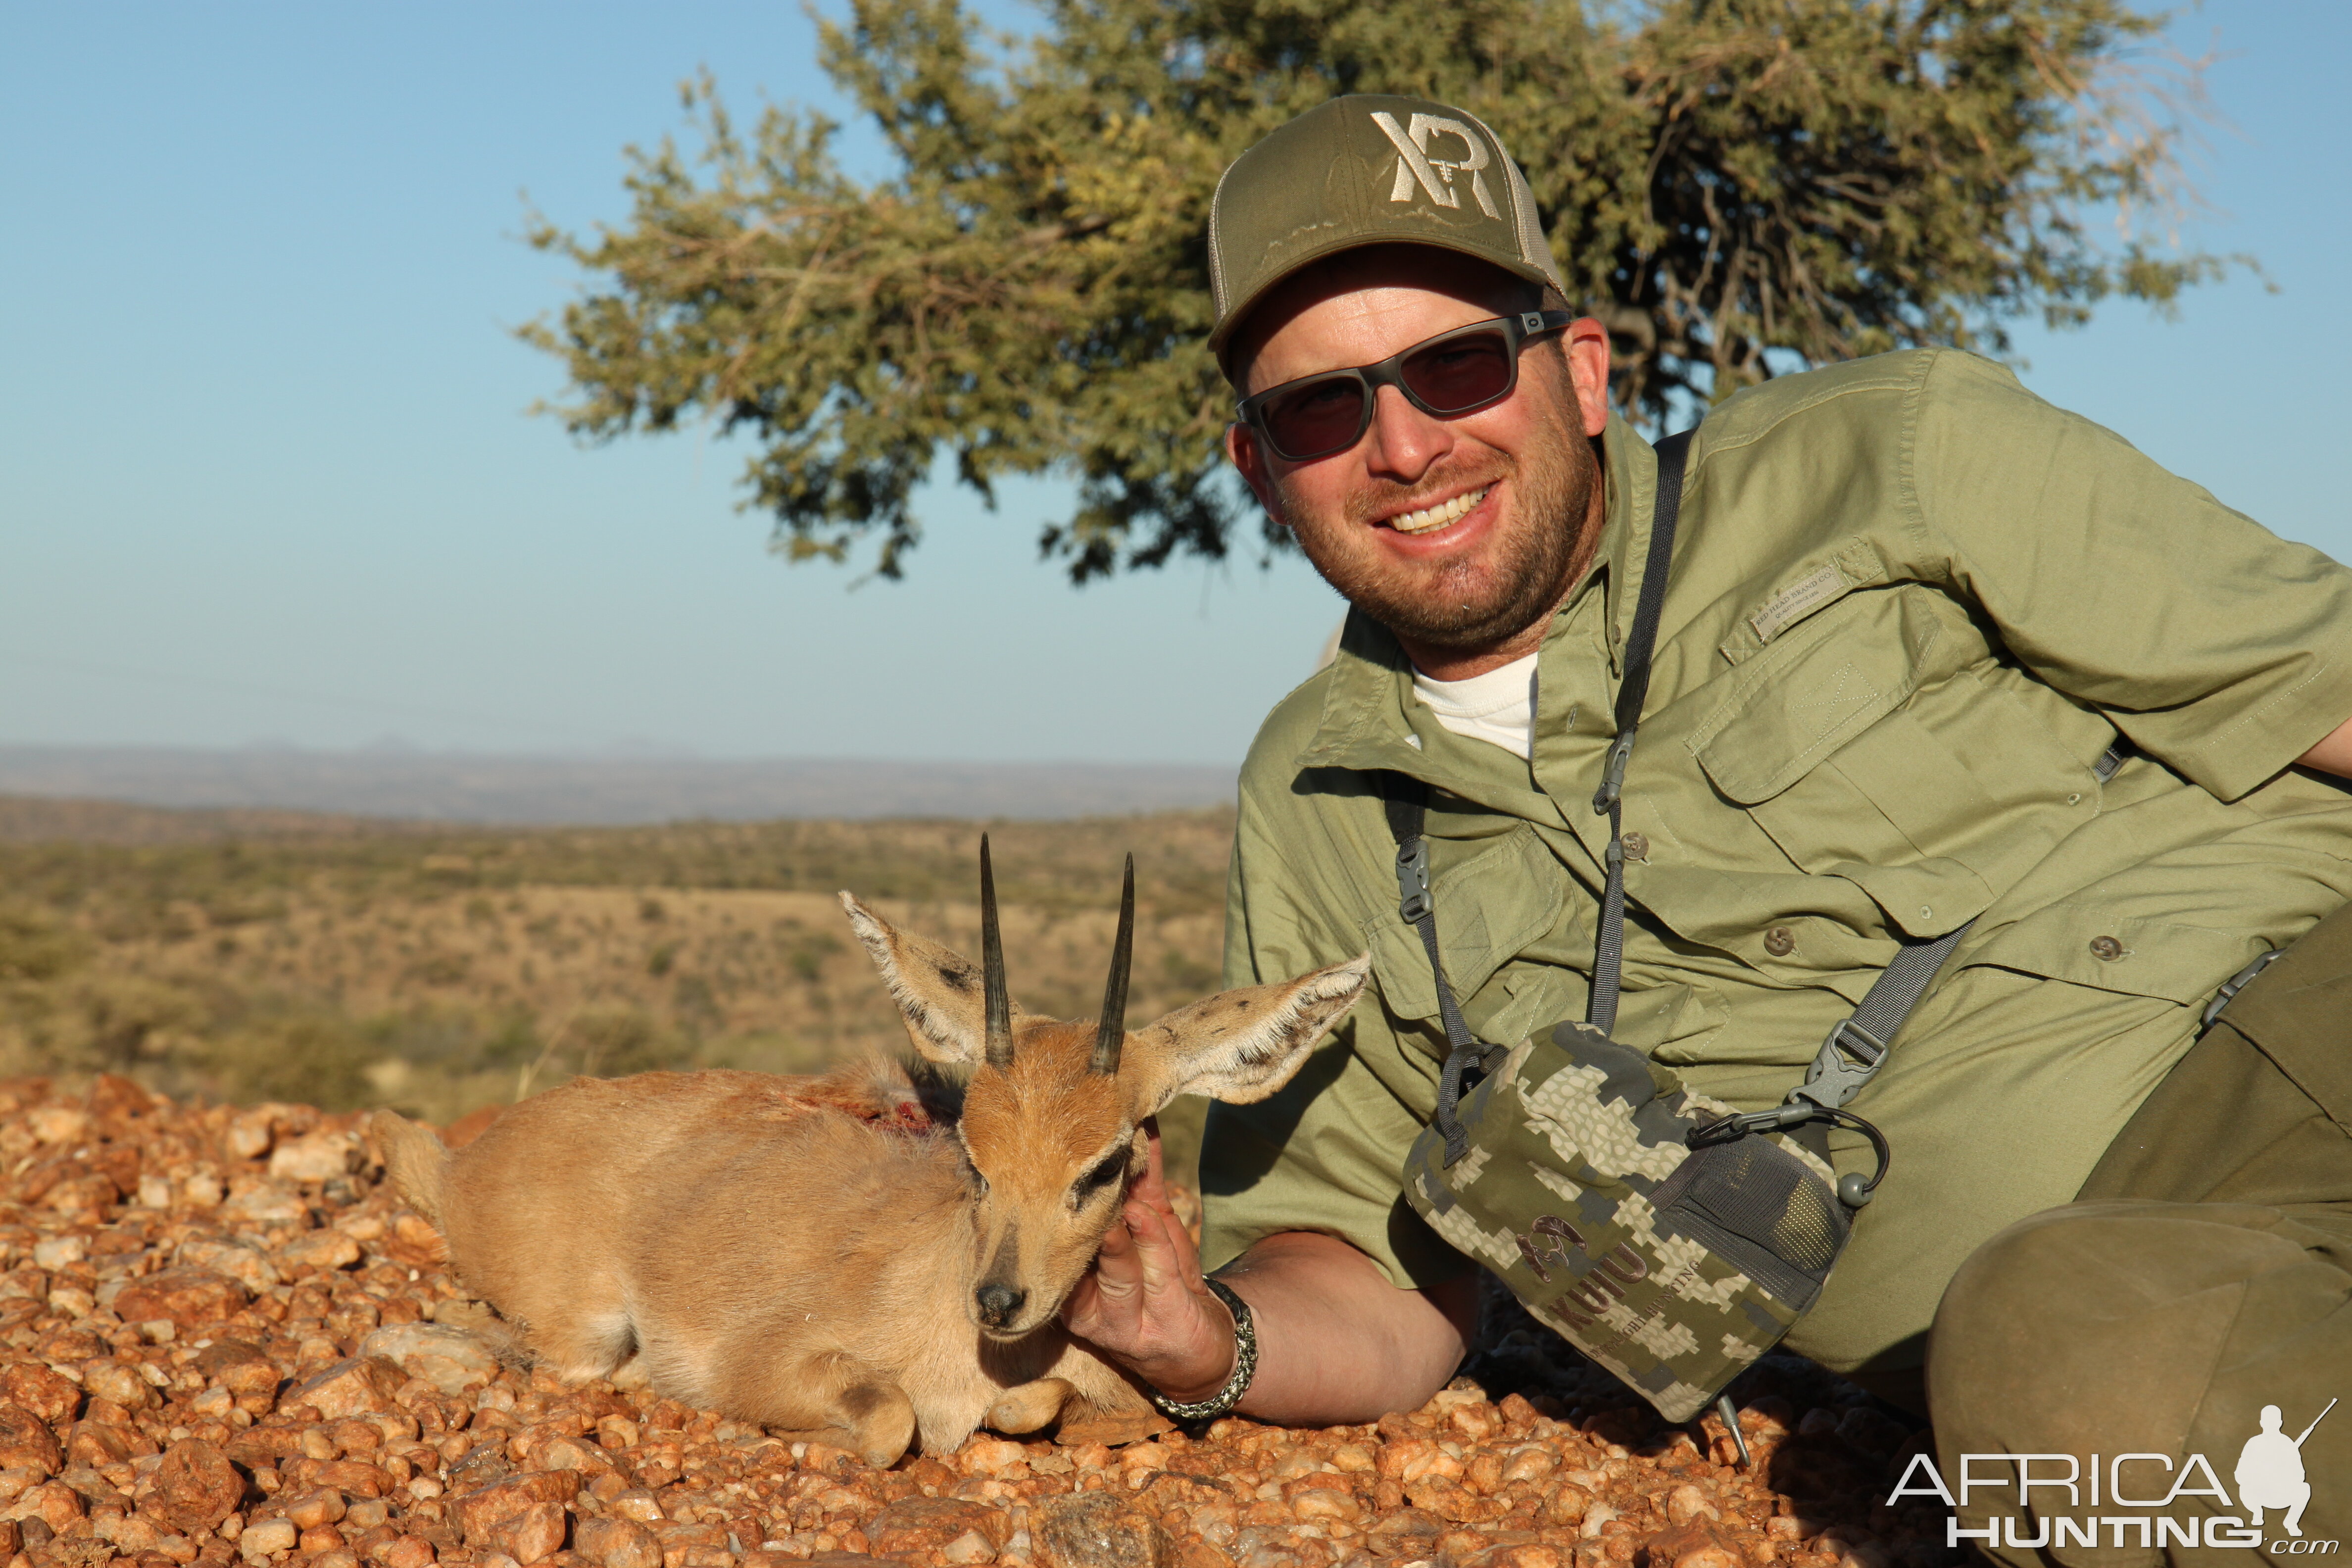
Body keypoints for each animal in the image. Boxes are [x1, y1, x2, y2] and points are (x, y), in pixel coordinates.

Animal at [357, 846, 1373, 1476]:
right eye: (973, 1154)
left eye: (1106, 1164)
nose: (998, 1300)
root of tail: (468, 1159)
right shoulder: (767, 1357)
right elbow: (889, 1418)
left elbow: (1058, 1411)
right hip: (584, 1330)